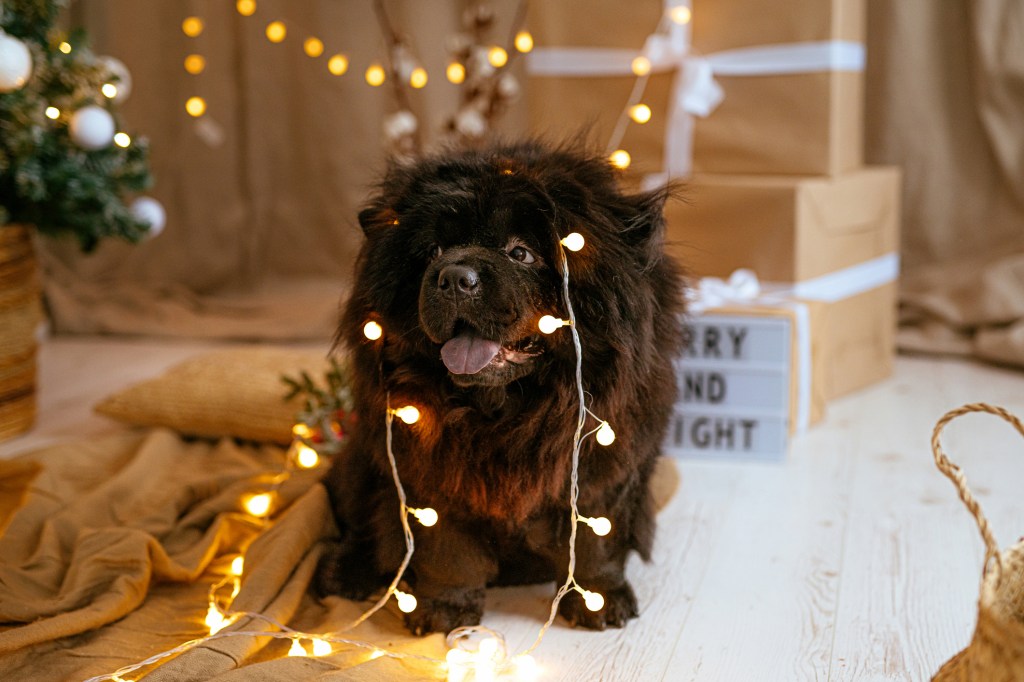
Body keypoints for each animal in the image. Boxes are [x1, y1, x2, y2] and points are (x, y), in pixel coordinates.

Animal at [317, 139, 688, 630]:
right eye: (433, 250)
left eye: (521, 253)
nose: (455, 277)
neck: (505, 413)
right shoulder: (431, 473)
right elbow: (446, 548)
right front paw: (445, 611)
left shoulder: (603, 466)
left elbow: (596, 539)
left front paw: (600, 602)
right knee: (361, 521)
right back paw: (347, 575)